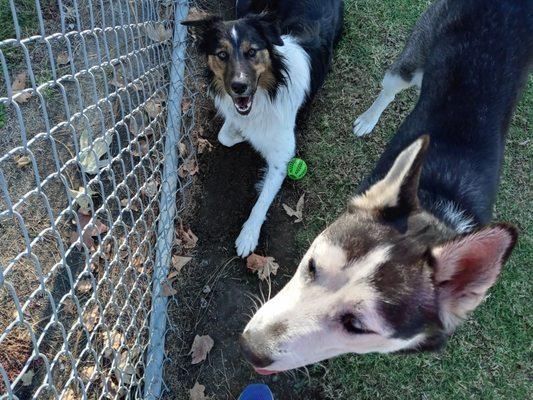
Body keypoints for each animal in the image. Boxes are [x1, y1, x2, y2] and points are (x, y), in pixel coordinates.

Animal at [182, 0, 340, 256]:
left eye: (252, 52)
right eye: (222, 54)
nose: (239, 87)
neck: (267, 93)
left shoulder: (283, 153)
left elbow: (263, 200)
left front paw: (248, 235)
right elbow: (225, 135)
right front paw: (242, 133)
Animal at [242, 0, 532, 376]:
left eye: (357, 326)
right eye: (312, 265)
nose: (249, 348)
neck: (436, 206)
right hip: (411, 62)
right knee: (391, 86)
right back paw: (368, 119)